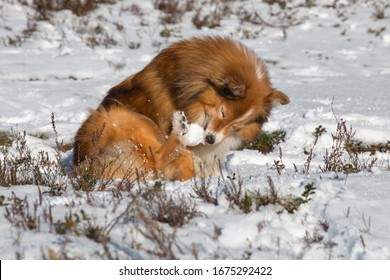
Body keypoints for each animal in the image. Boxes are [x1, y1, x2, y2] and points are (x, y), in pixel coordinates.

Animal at [72, 36, 290, 180]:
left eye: (238, 125)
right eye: (222, 112)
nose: (210, 140)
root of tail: (85, 163)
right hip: (123, 116)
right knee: (159, 159)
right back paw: (182, 127)